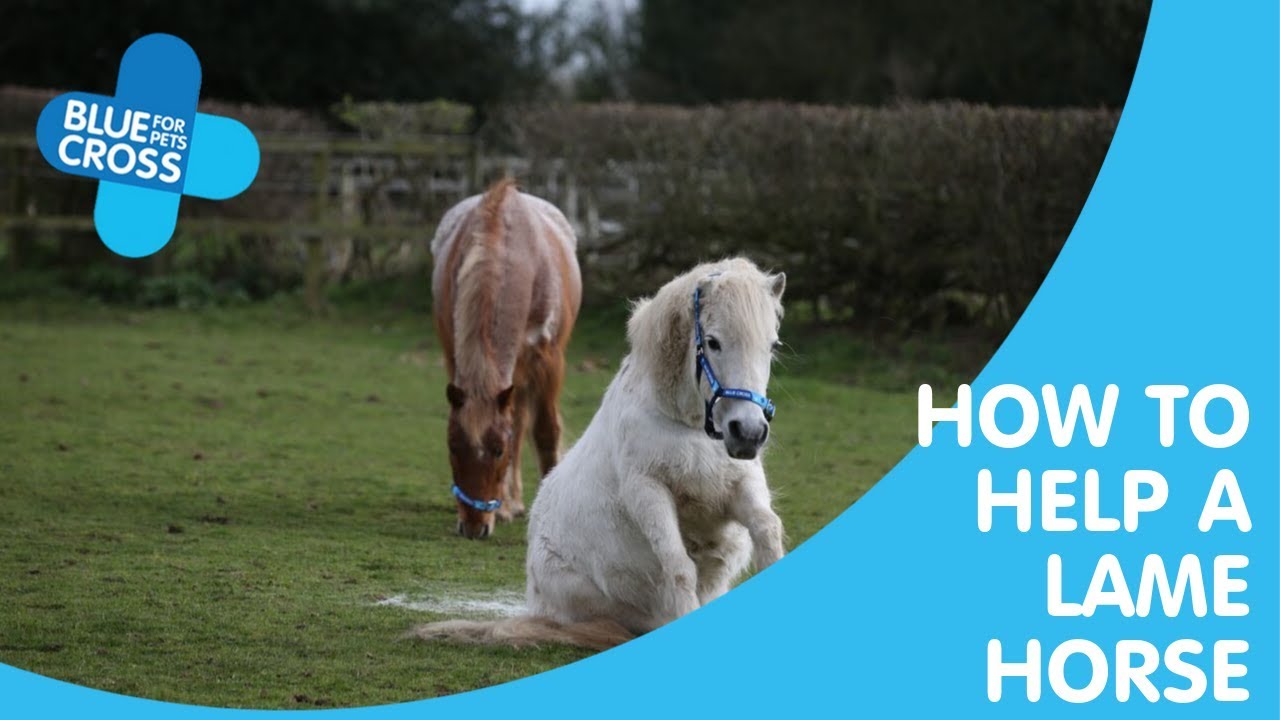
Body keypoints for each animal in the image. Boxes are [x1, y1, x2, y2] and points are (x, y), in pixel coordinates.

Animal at [411, 257, 786, 648]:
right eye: (712, 342)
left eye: (772, 345)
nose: (748, 432)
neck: (687, 425)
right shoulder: (647, 491)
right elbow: (679, 565)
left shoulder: (738, 488)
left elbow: (768, 531)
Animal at [430, 178, 581, 540]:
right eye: (452, 446)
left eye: (497, 450)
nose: (474, 527)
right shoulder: (455, 354)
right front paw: (504, 507)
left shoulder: (548, 362)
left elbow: (544, 432)